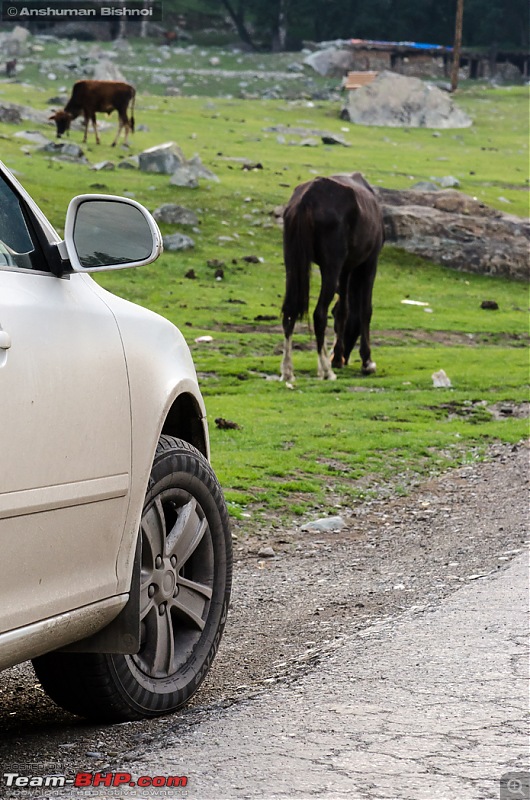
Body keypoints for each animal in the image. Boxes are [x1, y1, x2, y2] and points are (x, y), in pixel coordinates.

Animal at [278, 171, 382, 382]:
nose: (340, 357)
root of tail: (308, 198)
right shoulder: (369, 263)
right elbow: (365, 310)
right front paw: (367, 362)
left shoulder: (345, 269)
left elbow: (342, 310)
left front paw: (338, 357)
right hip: (331, 267)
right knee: (319, 314)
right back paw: (326, 370)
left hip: (293, 264)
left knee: (289, 312)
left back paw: (287, 371)